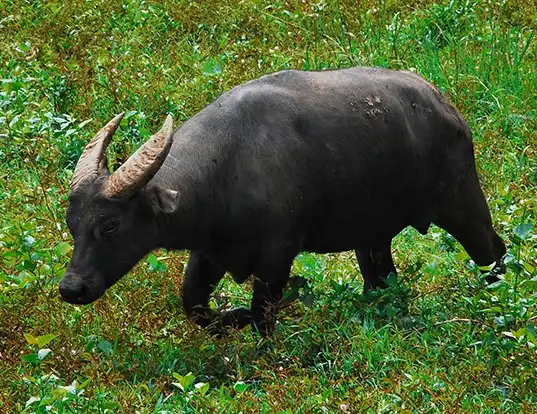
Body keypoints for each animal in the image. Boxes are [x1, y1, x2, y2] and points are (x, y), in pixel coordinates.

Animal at [60, 67, 504, 336]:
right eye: (72, 224)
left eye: (111, 225)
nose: (71, 288)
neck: (229, 166)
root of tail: (448, 110)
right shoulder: (208, 252)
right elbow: (195, 306)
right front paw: (231, 316)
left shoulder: (278, 256)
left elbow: (262, 316)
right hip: (372, 237)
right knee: (380, 278)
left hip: (462, 204)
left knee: (493, 249)